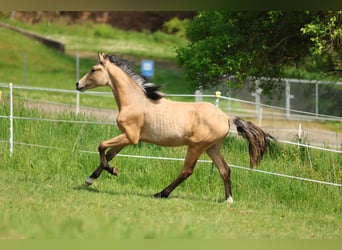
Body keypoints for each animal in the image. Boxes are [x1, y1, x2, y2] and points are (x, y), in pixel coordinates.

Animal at [76, 52, 274, 203]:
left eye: (93, 69)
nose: (78, 84)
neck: (135, 102)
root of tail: (226, 117)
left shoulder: (130, 137)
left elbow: (101, 146)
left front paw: (113, 171)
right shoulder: (127, 137)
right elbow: (108, 154)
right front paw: (89, 180)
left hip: (196, 146)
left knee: (187, 171)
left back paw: (160, 193)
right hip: (212, 147)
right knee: (224, 170)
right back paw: (228, 200)